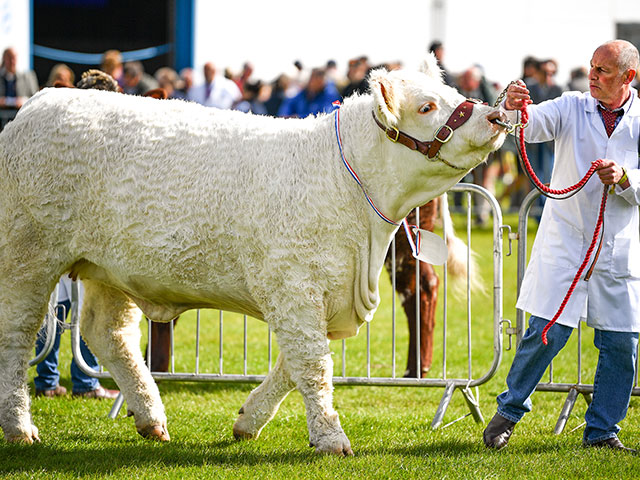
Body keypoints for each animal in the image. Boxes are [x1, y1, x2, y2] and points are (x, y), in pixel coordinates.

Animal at [0, 56, 508, 454]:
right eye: (426, 107)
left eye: (452, 92)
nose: (496, 115)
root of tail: (39, 103)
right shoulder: (294, 287)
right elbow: (313, 365)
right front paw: (332, 439)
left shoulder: (318, 293)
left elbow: (293, 365)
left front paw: (248, 421)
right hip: (29, 254)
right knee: (18, 334)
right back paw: (20, 427)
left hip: (111, 269)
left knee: (107, 334)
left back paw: (150, 417)